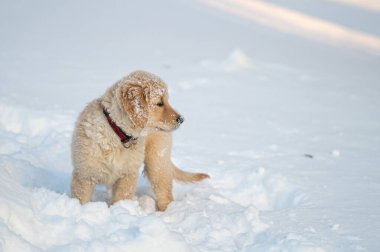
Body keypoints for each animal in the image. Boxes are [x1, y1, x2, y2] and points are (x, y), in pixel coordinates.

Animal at [70, 70, 209, 210]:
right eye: (160, 103)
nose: (181, 119)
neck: (118, 133)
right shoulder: (84, 174)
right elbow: (81, 198)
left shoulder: (127, 175)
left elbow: (122, 197)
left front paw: (121, 209)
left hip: (157, 161)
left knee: (164, 192)